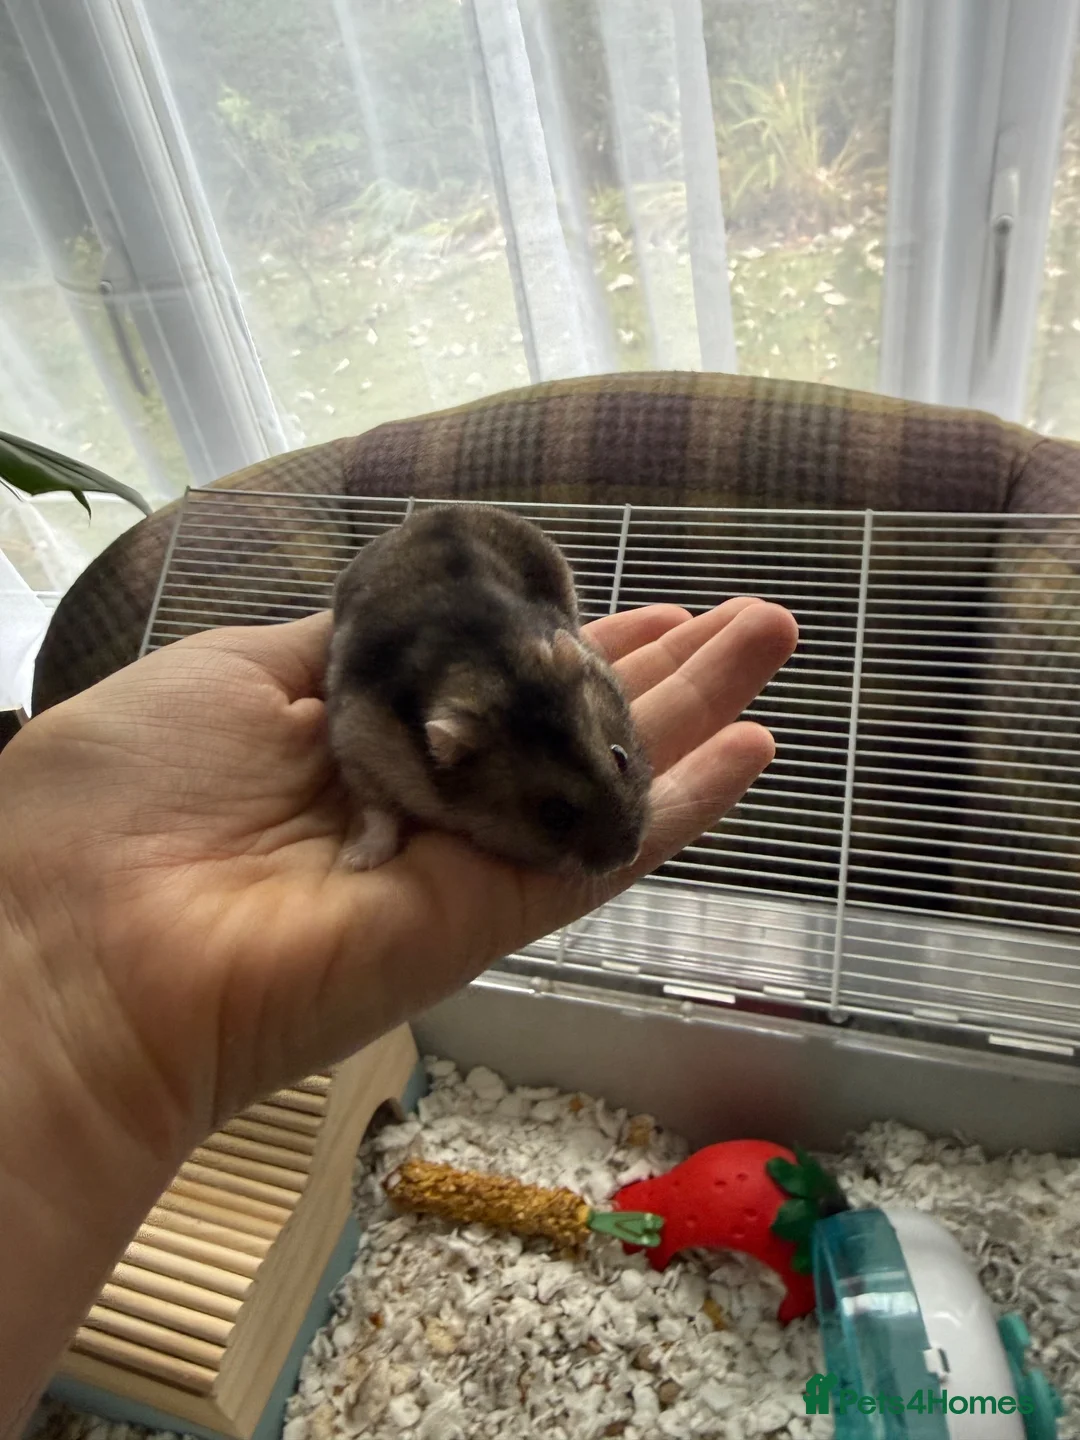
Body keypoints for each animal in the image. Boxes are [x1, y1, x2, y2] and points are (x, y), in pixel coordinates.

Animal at [325, 503, 651, 874]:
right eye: (554, 815)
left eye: (620, 756)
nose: (630, 857)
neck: (491, 670)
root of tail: (436, 510)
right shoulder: (357, 749)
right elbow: (379, 813)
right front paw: (356, 861)